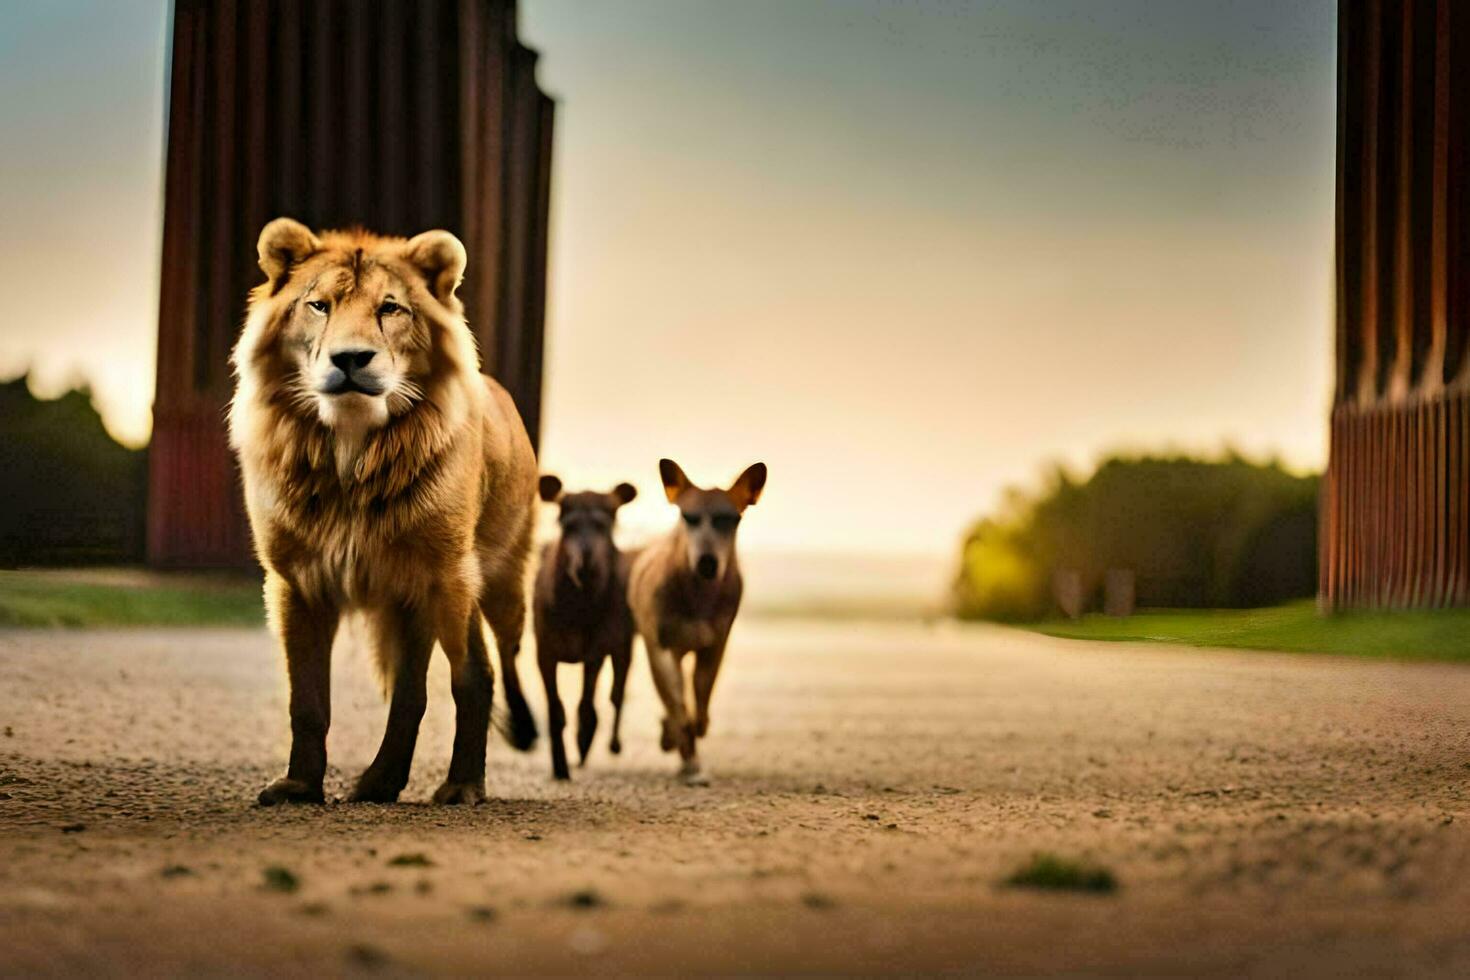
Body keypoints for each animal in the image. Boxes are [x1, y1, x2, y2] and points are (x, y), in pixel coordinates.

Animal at [223, 218, 535, 811]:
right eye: (319, 305)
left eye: (391, 308)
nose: (349, 359)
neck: (351, 449)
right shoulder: (297, 582)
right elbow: (308, 699)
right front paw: (299, 786)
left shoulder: (446, 575)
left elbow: (471, 678)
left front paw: (464, 786)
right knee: (409, 693)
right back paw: (379, 784)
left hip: (499, 585)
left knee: (501, 664)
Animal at [535, 476, 637, 781]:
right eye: (565, 523)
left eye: (607, 523)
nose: (585, 562)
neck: (576, 610)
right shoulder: (544, 647)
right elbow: (555, 709)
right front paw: (559, 765)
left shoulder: (596, 649)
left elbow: (586, 705)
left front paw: (582, 742)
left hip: (624, 643)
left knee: (617, 693)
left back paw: (611, 744)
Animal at [626, 455, 770, 787]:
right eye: (688, 517)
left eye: (732, 520)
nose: (707, 561)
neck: (698, 596)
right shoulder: (661, 648)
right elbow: (678, 705)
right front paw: (687, 754)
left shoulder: (715, 645)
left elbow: (702, 697)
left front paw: (694, 730)